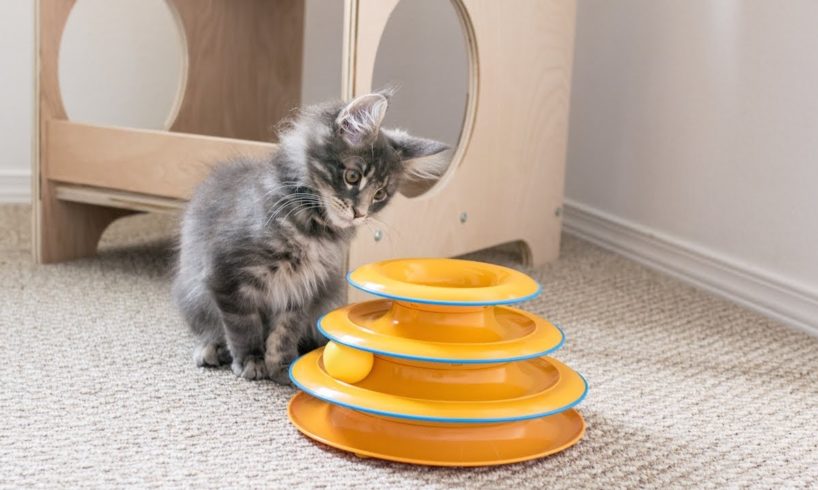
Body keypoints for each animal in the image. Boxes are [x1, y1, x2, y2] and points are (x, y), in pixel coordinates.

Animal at [173, 92, 450, 382]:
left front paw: (282, 364)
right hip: (193, 293)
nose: (359, 213)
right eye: (353, 176)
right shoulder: (226, 274)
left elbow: (286, 329)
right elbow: (243, 325)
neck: (312, 228)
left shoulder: (305, 287)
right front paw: (251, 359)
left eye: (379, 195)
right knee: (209, 326)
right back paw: (211, 348)